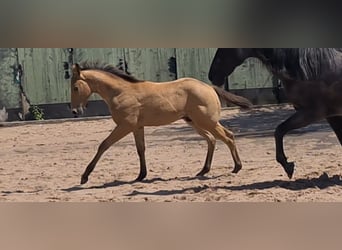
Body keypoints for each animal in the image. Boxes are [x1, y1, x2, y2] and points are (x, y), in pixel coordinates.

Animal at [70, 61, 251, 185]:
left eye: (75, 88)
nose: (74, 111)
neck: (121, 92)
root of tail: (209, 87)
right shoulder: (137, 127)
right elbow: (140, 149)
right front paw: (141, 175)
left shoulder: (125, 126)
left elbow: (104, 145)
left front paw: (84, 177)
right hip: (195, 122)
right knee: (212, 139)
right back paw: (203, 170)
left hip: (207, 121)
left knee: (228, 137)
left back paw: (236, 167)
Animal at [207, 48, 342, 178]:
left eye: (225, 49)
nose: (212, 75)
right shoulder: (330, 116)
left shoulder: (312, 113)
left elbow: (279, 130)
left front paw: (288, 166)